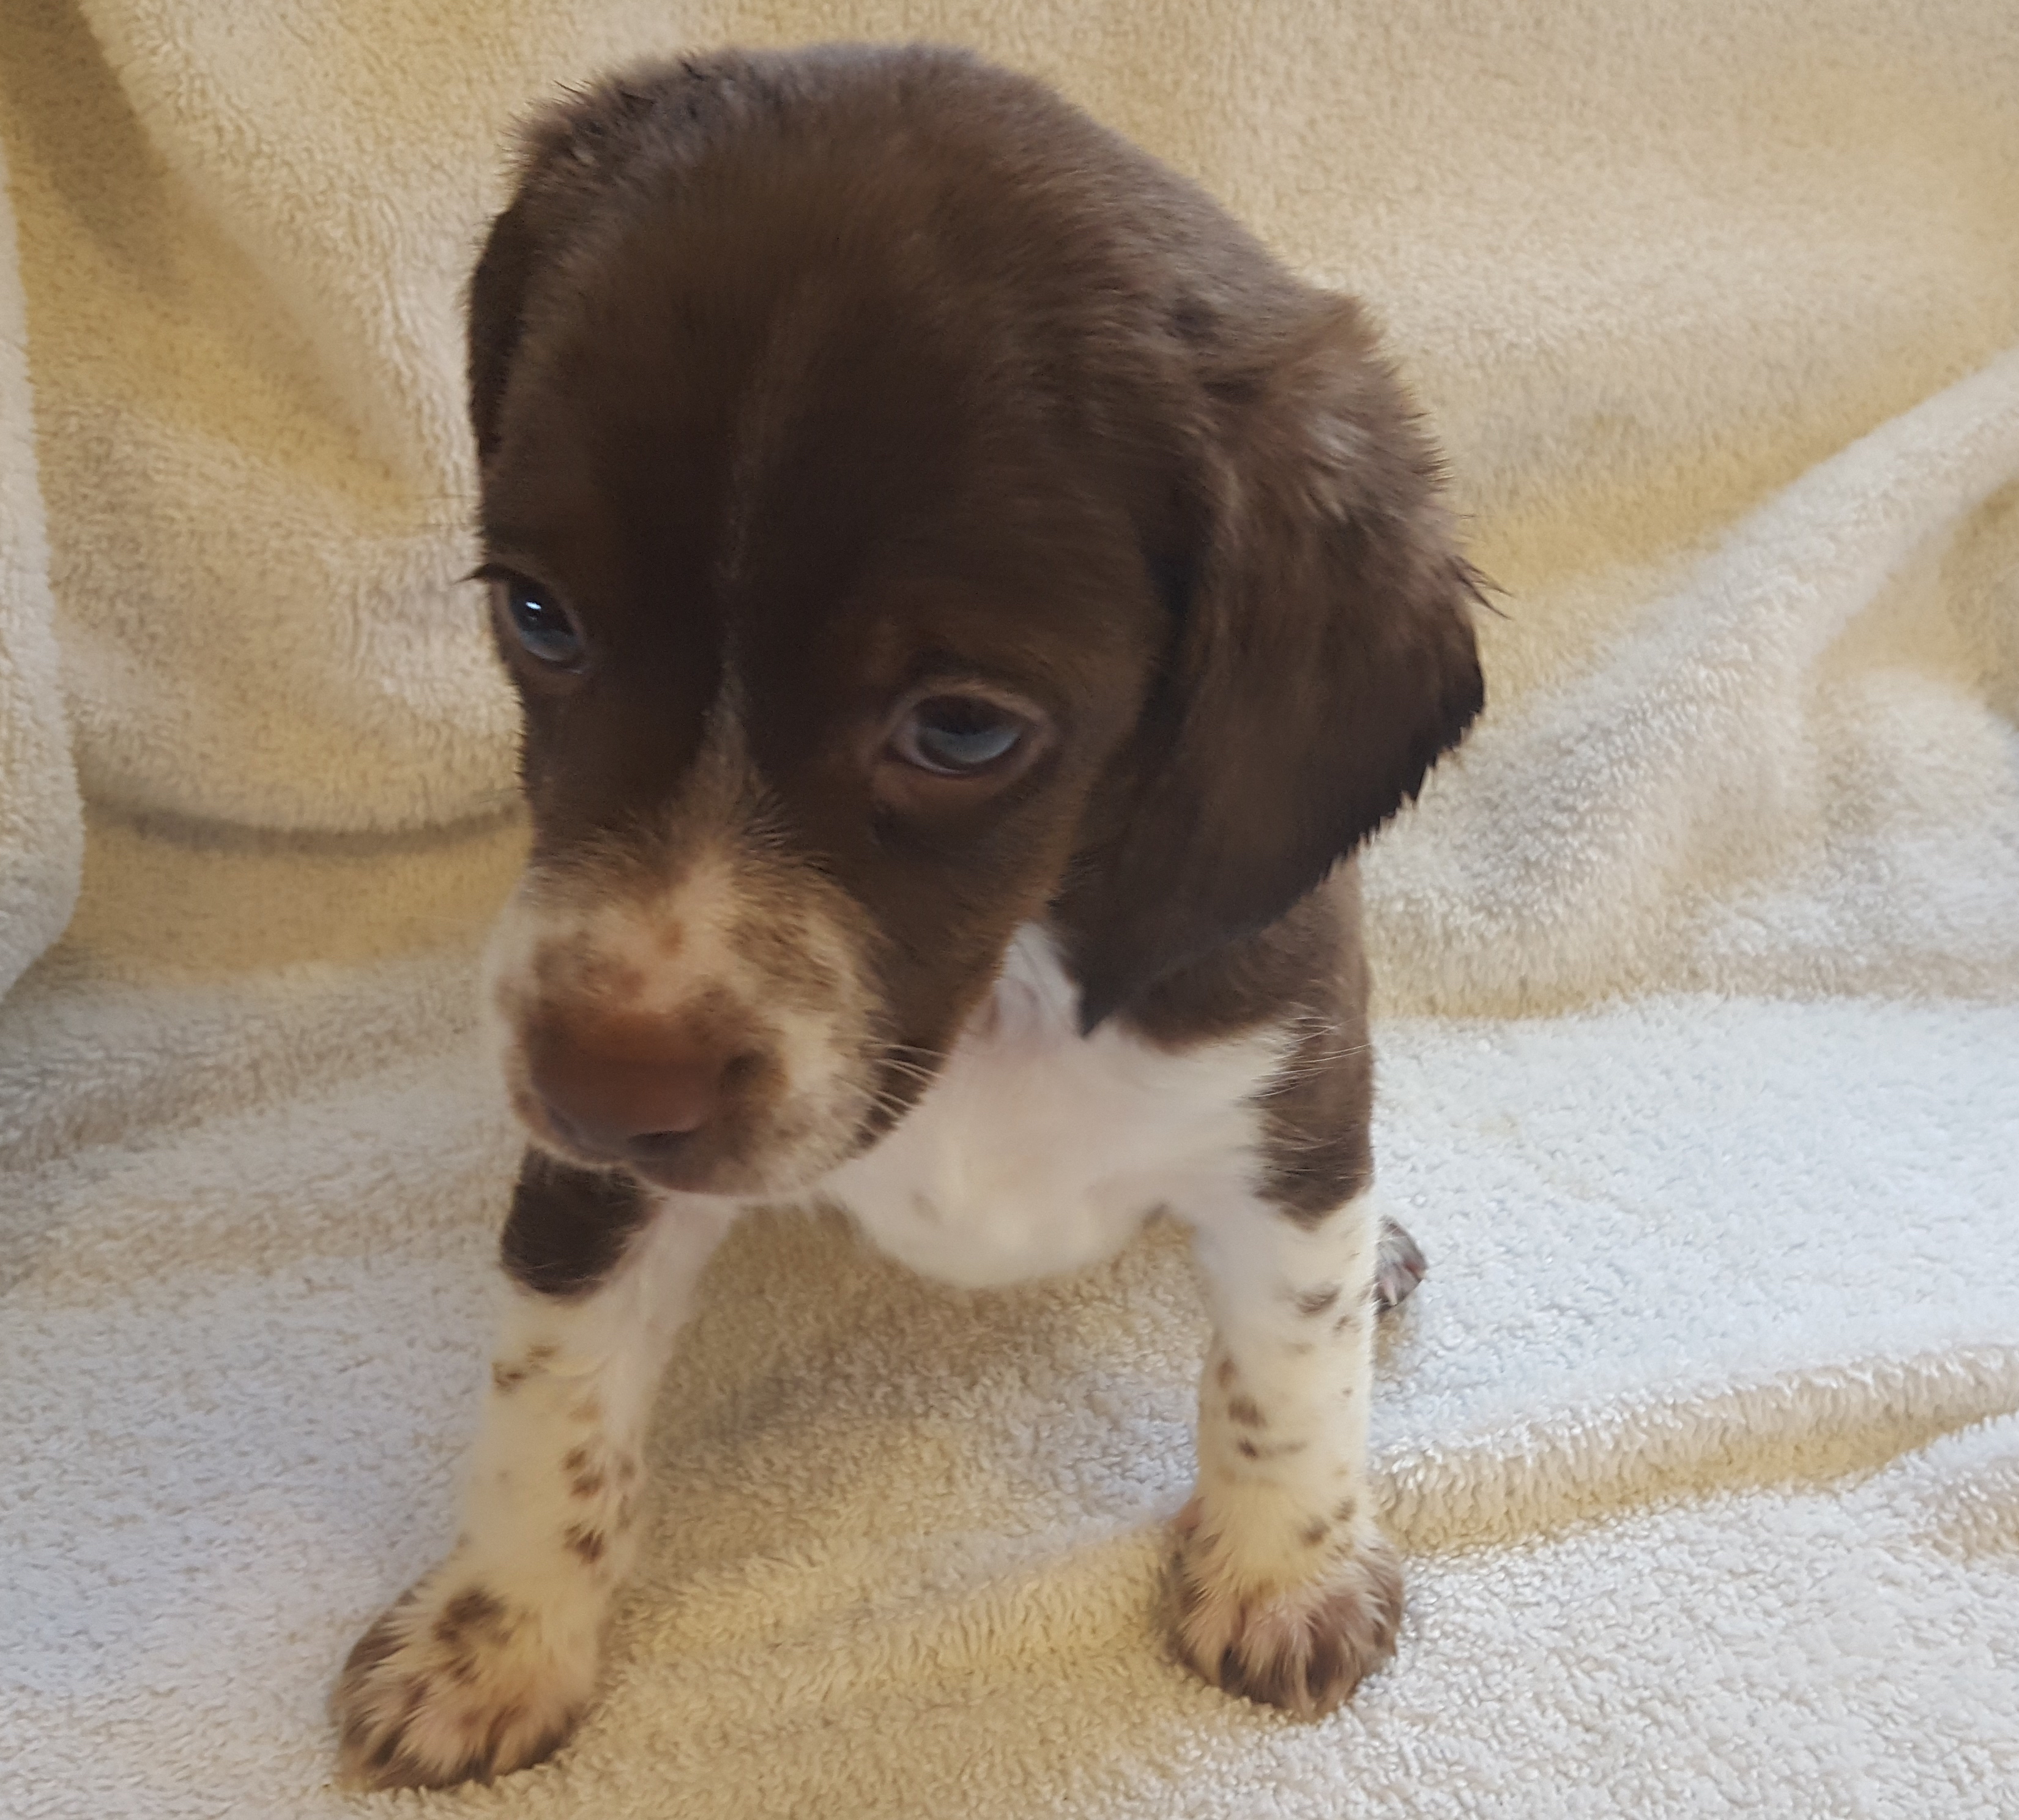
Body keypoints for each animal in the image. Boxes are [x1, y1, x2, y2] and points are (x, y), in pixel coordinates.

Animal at [333, 43, 1482, 1788]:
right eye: (540, 616)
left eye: (960, 729)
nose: (595, 1095)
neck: (1007, 989)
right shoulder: (592, 1167)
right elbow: (552, 1388)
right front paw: (494, 1629)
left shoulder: (1287, 1074)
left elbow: (1288, 1352)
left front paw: (1285, 1560)